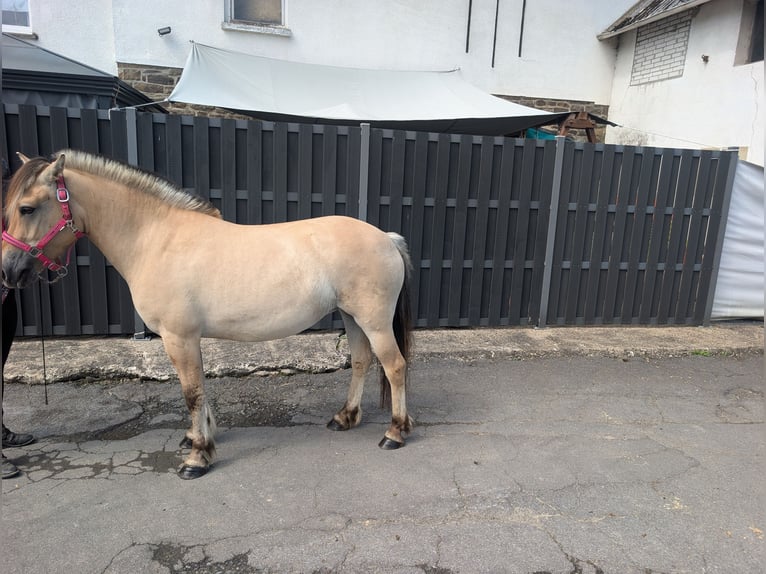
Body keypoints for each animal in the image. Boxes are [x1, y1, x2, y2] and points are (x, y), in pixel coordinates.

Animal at [2, 150, 414, 479]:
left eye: (27, 208)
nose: (9, 272)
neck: (155, 239)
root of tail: (387, 238)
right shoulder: (188, 338)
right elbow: (200, 386)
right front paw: (201, 437)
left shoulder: (178, 337)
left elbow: (192, 392)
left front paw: (197, 458)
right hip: (351, 316)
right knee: (361, 361)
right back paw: (345, 417)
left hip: (374, 321)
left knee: (394, 366)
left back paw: (394, 433)